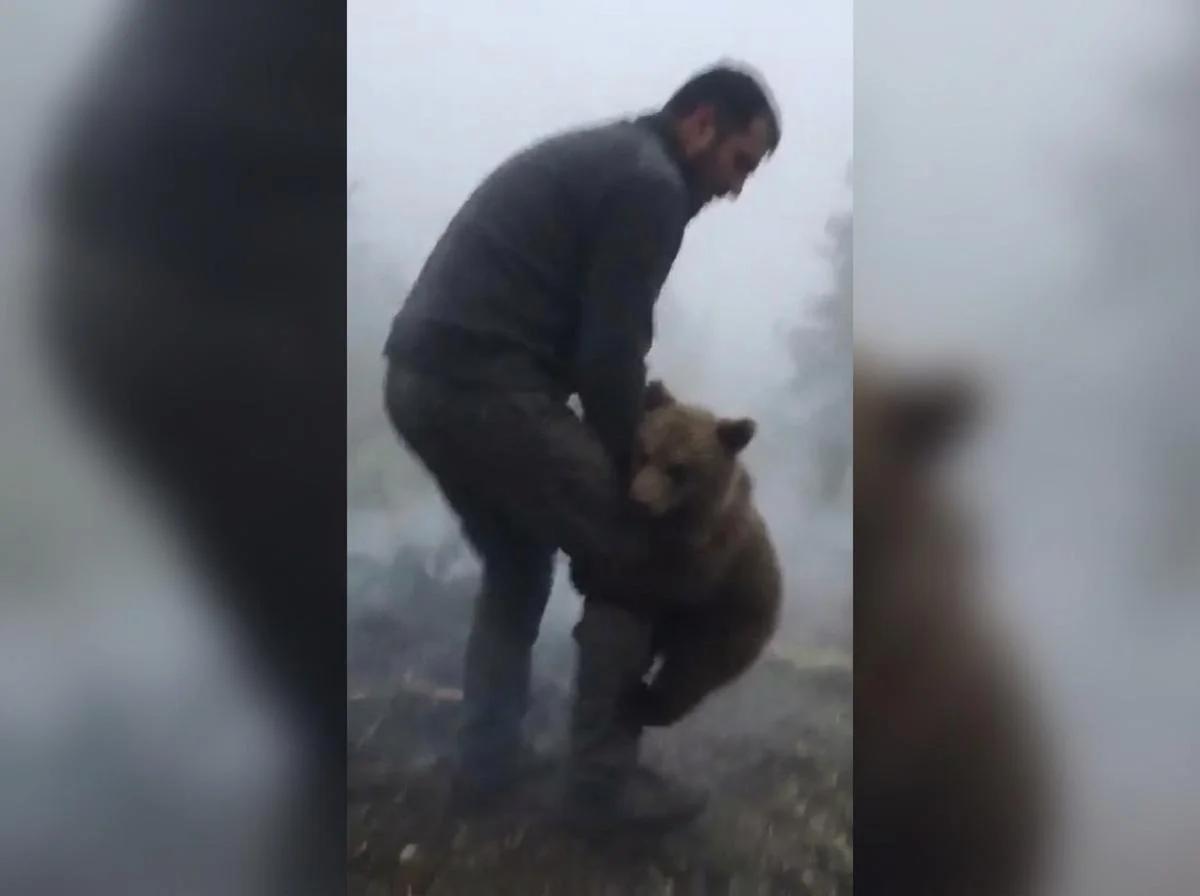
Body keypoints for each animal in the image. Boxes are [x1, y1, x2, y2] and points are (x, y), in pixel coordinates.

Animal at [617, 379, 784, 728]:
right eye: (645, 453)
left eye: (678, 469)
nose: (639, 501)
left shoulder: (712, 554)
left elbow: (665, 582)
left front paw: (589, 576)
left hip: (727, 626)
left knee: (690, 672)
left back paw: (646, 702)